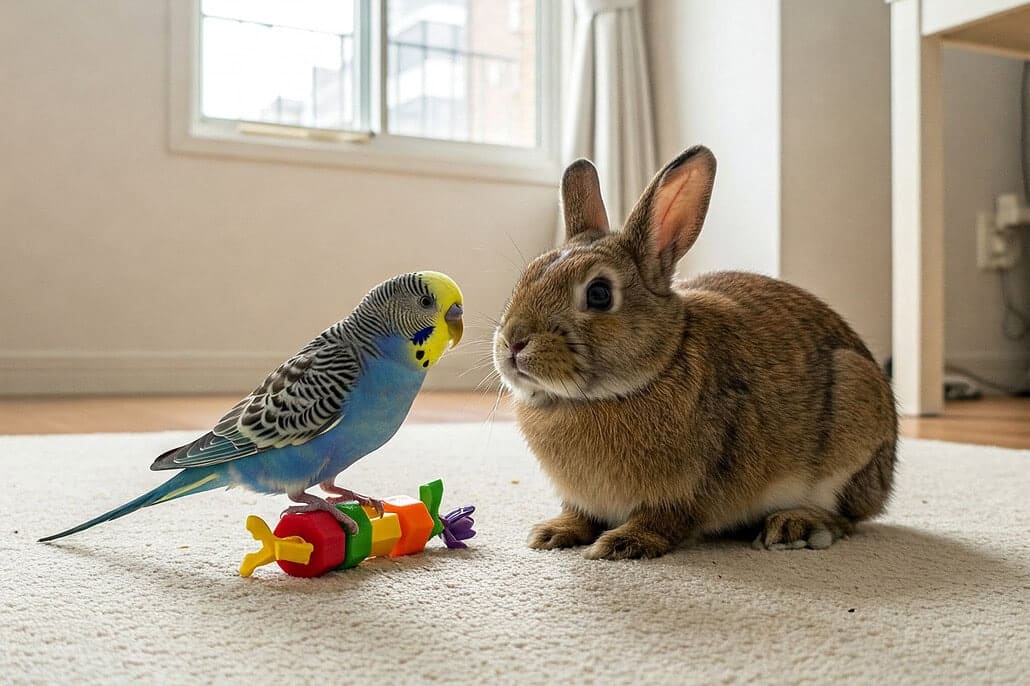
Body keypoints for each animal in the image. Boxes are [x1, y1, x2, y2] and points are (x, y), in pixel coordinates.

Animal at [492, 145, 897, 560]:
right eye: (528, 274)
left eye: (600, 294)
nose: (513, 342)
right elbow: (580, 514)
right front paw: (553, 533)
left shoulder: (686, 490)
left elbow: (665, 519)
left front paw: (622, 544)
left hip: (853, 422)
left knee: (847, 517)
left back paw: (793, 526)